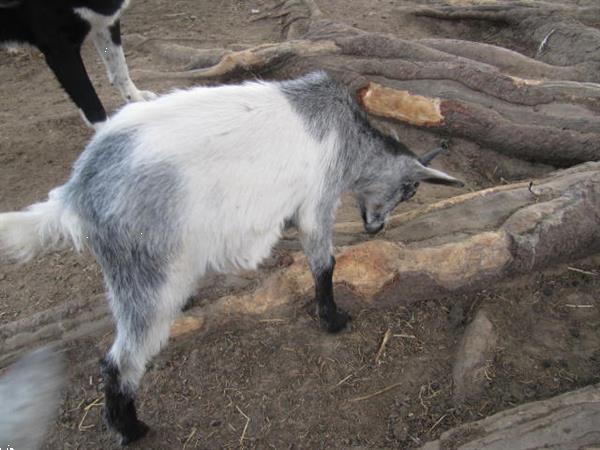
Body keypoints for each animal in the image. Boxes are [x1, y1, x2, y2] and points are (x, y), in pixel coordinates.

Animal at [0, 72, 464, 444]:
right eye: (410, 191)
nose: (376, 229)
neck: (347, 137)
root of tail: (77, 194)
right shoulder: (318, 200)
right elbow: (324, 263)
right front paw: (332, 319)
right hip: (144, 265)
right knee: (120, 362)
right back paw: (131, 430)